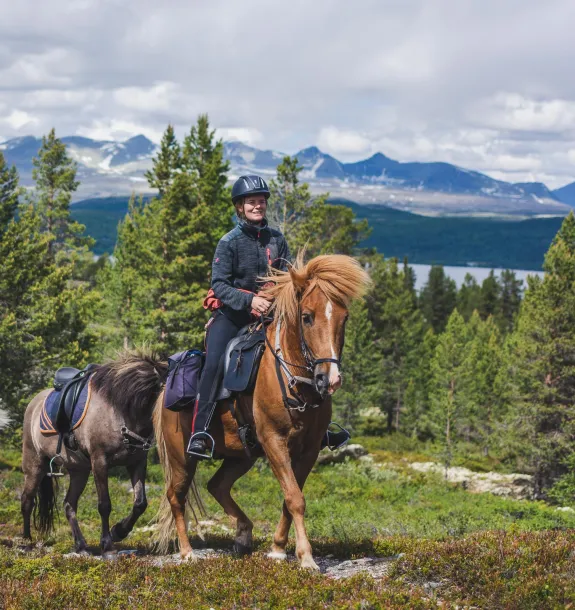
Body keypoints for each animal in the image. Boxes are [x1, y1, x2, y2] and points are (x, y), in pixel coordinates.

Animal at [153, 252, 372, 564]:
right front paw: (306, 557)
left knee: (217, 485)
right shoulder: (273, 440)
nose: (329, 379)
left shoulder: (309, 449)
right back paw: (187, 552)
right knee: (176, 496)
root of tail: (164, 389)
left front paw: (278, 548)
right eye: (307, 317)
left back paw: (243, 534)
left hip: (241, 455)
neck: (294, 383)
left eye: (345, 317)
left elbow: (290, 497)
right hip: (182, 457)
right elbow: (295, 498)